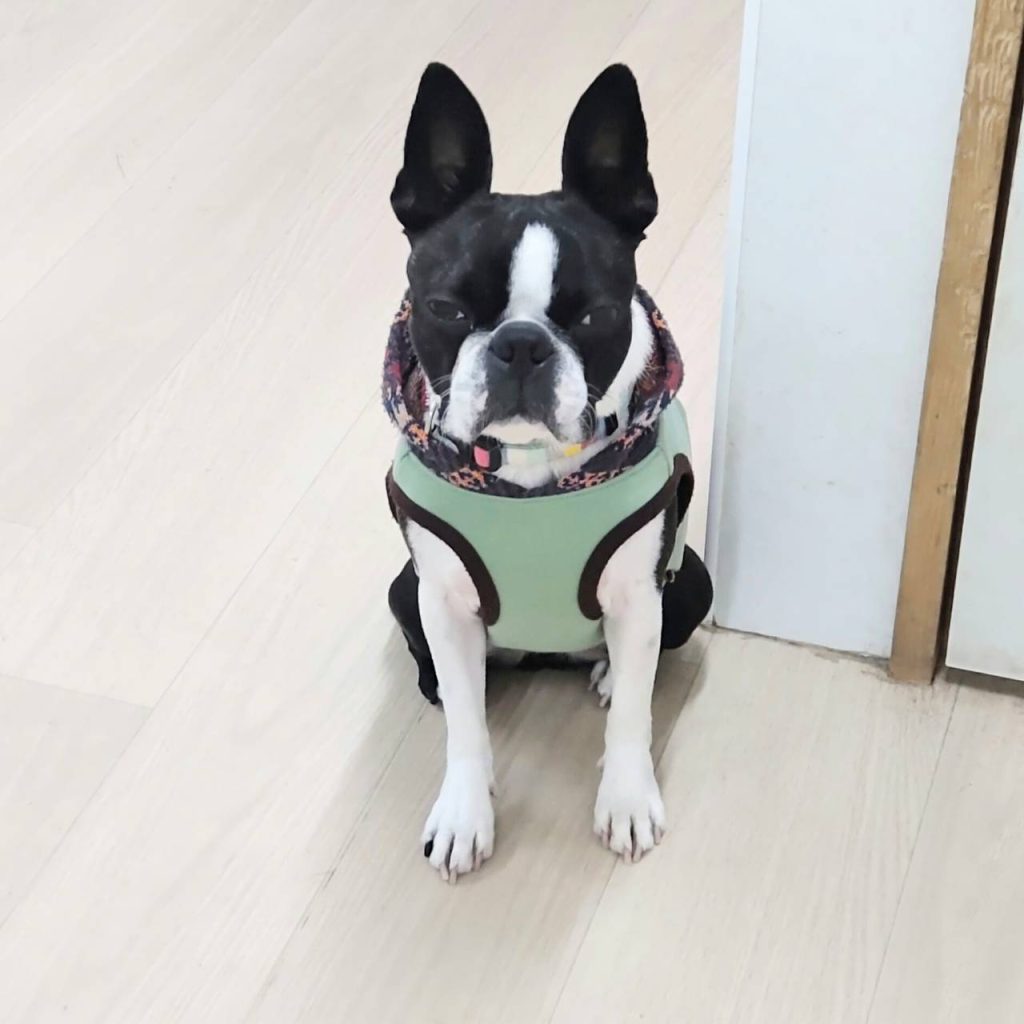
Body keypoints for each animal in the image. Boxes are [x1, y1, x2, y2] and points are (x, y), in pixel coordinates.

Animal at [384, 63, 712, 880]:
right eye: (444, 308)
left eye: (594, 317)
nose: (523, 344)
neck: (529, 476)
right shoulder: (441, 599)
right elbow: (466, 729)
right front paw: (464, 812)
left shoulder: (638, 592)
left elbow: (633, 714)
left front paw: (627, 801)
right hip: (402, 591)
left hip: (689, 581)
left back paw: (604, 673)